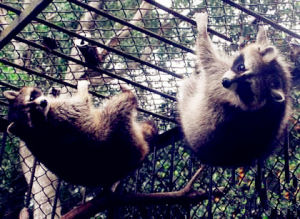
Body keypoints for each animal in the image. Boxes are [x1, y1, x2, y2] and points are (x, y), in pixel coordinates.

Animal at [4, 80, 157, 186]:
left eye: (31, 98)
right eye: (32, 113)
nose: (43, 103)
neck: (32, 132)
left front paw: (55, 91)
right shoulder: (62, 114)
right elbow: (82, 102)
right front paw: (82, 87)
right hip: (117, 130)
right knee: (119, 104)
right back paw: (128, 93)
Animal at [178, 12, 290, 166]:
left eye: (246, 87)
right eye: (241, 67)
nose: (226, 82)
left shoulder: (218, 85)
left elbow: (207, 57)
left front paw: (202, 31)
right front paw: (261, 34)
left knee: (189, 86)